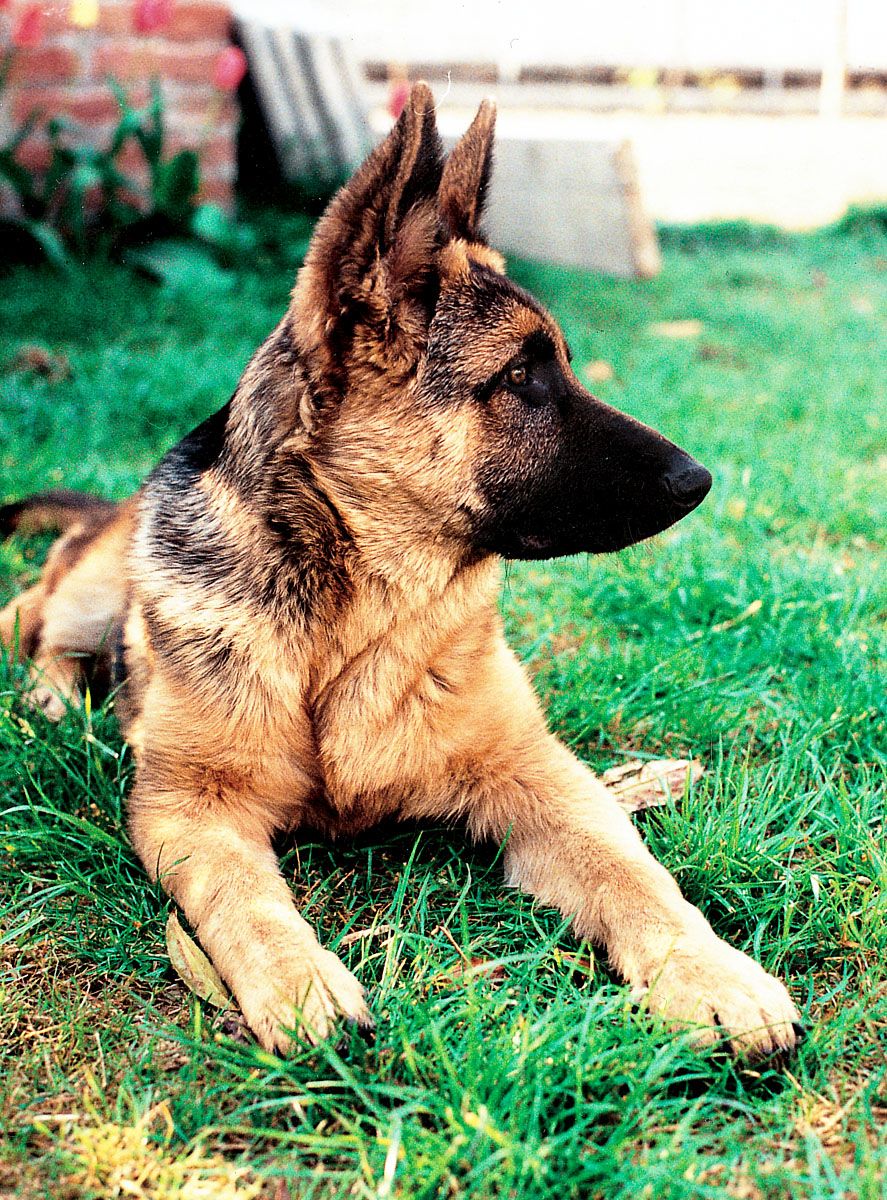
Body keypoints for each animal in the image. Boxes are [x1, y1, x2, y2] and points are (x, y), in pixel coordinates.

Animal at [0, 84, 801, 1056]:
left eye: (559, 366)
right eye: (521, 376)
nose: (700, 480)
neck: (355, 618)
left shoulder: (537, 774)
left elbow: (633, 872)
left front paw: (713, 973)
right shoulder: (188, 806)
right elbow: (243, 896)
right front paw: (298, 980)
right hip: (93, 590)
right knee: (28, 612)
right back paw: (45, 704)